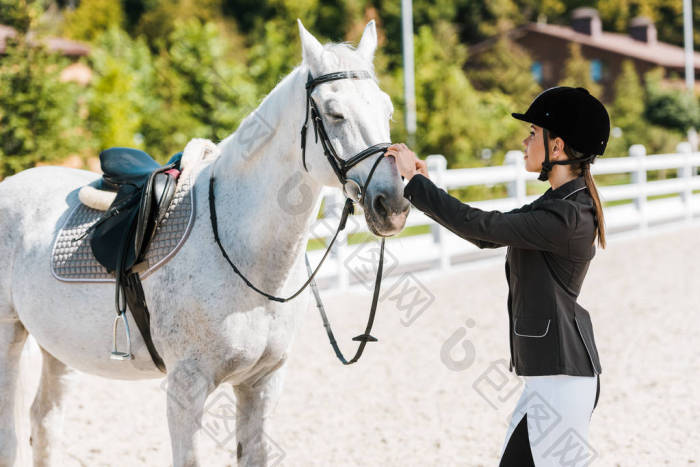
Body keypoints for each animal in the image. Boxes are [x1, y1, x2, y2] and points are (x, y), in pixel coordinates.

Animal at [0, 20, 409, 466]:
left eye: (387, 110)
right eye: (335, 113)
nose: (392, 204)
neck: (242, 252)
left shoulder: (261, 384)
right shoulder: (187, 388)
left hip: (57, 349)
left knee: (45, 422)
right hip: (9, 338)